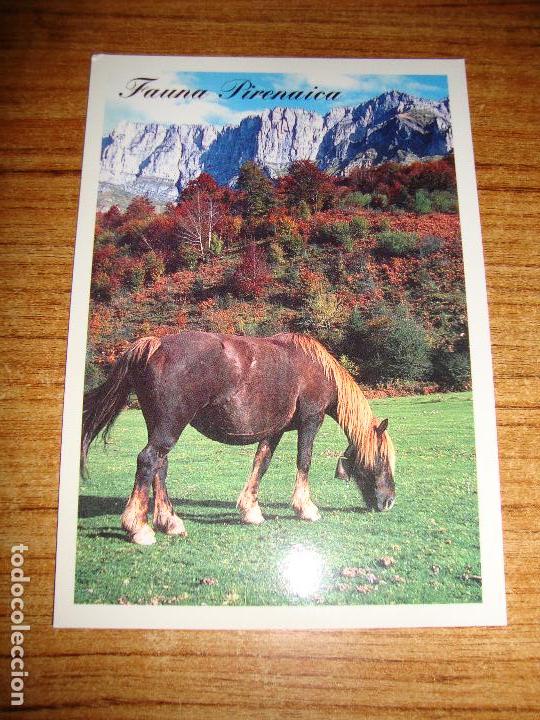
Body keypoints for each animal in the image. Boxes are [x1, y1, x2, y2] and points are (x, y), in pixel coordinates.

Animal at [81, 331, 396, 545]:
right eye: (382, 460)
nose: (389, 502)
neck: (316, 369)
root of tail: (155, 344)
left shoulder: (273, 431)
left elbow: (261, 464)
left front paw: (250, 510)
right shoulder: (311, 421)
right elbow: (304, 462)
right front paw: (305, 508)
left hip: (161, 429)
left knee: (159, 466)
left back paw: (169, 522)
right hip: (168, 428)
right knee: (148, 461)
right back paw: (139, 527)